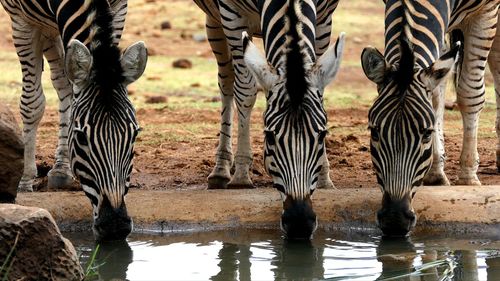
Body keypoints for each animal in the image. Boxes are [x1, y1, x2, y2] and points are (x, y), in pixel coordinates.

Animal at [0, 0, 146, 240]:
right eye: (81, 138)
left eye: (134, 135)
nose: (115, 226)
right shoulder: (21, 21)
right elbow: (32, 103)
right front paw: (25, 177)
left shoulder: (119, 10)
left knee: (65, 83)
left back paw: (61, 169)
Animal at [193, 0, 346, 237]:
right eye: (269, 137)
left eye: (322, 136)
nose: (300, 223)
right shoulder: (231, 16)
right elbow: (245, 90)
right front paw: (242, 174)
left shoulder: (324, 19)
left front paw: (324, 176)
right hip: (215, 21)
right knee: (226, 82)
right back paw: (221, 169)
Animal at [362, 0, 498, 236]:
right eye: (374, 132)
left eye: (426, 134)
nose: (395, 220)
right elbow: (434, 96)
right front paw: (436, 171)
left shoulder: (486, 12)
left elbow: (470, 94)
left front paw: (468, 174)